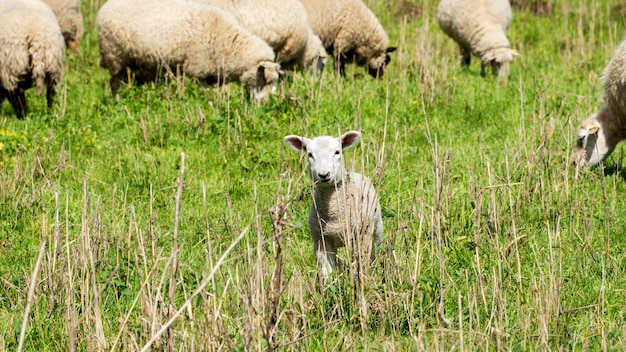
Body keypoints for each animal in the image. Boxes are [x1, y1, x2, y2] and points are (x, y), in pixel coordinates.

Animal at [96, 0, 282, 103]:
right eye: (264, 80)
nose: (264, 104)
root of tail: (106, 6)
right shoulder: (195, 71)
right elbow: (203, 94)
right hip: (115, 56)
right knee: (114, 83)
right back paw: (117, 101)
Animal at [282, 131, 380, 282]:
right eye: (310, 154)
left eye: (337, 152)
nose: (324, 175)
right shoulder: (321, 241)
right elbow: (326, 271)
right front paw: (330, 286)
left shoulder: (361, 236)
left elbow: (361, 263)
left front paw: (361, 280)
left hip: (375, 227)